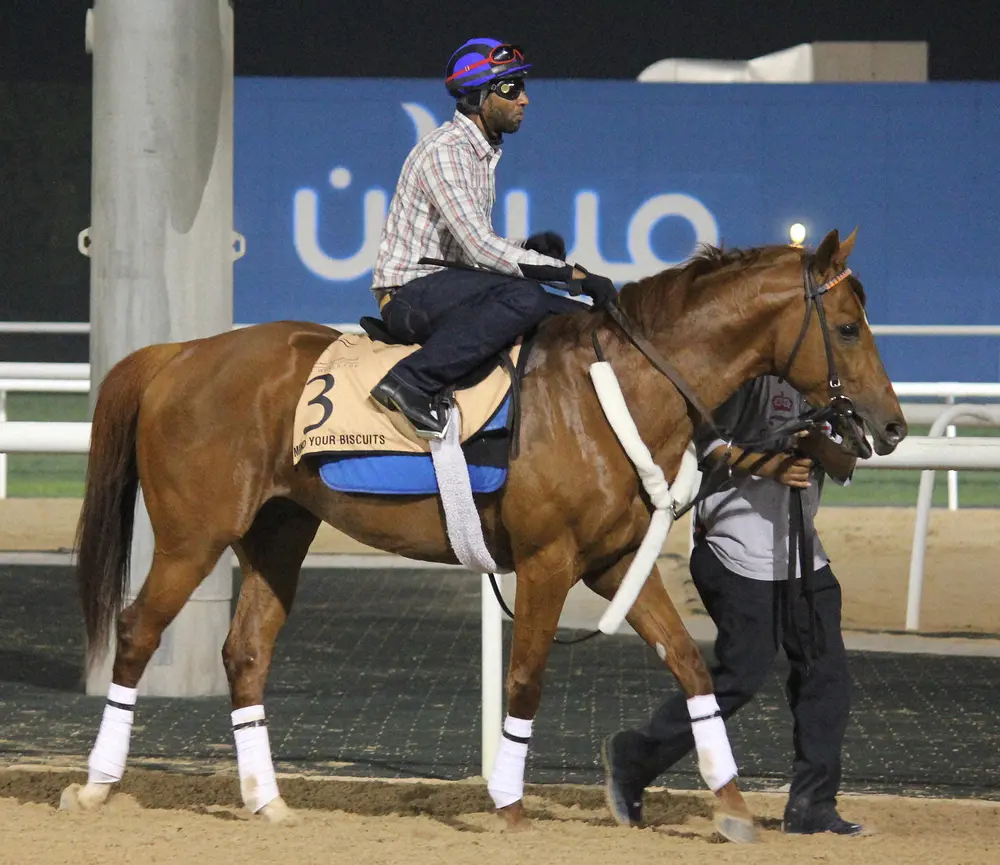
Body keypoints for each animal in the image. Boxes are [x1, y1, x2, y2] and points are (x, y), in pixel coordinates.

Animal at [62, 230, 908, 836]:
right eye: (846, 326)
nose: (891, 425)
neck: (615, 387)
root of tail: (178, 354)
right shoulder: (546, 560)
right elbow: (526, 677)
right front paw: (508, 801)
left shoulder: (611, 562)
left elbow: (691, 665)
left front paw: (730, 804)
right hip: (193, 535)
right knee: (136, 631)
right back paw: (97, 784)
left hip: (278, 531)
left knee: (246, 651)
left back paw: (266, 799)